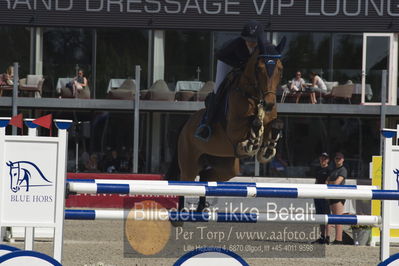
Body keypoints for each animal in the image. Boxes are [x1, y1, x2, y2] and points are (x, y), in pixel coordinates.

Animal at [167, 38, 286, 212]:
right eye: (259, 69)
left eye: (280, 69)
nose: (270, 104)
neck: (255, 96)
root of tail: (185, 125)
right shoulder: (234, 129)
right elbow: (254, 122)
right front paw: (252, 142)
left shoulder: (271, 121)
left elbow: (277, 124)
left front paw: (268, 148)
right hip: (189, 161)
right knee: (184, 182)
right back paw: (182, 212)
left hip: (226, 166)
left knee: (205, 179)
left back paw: (201, 209)